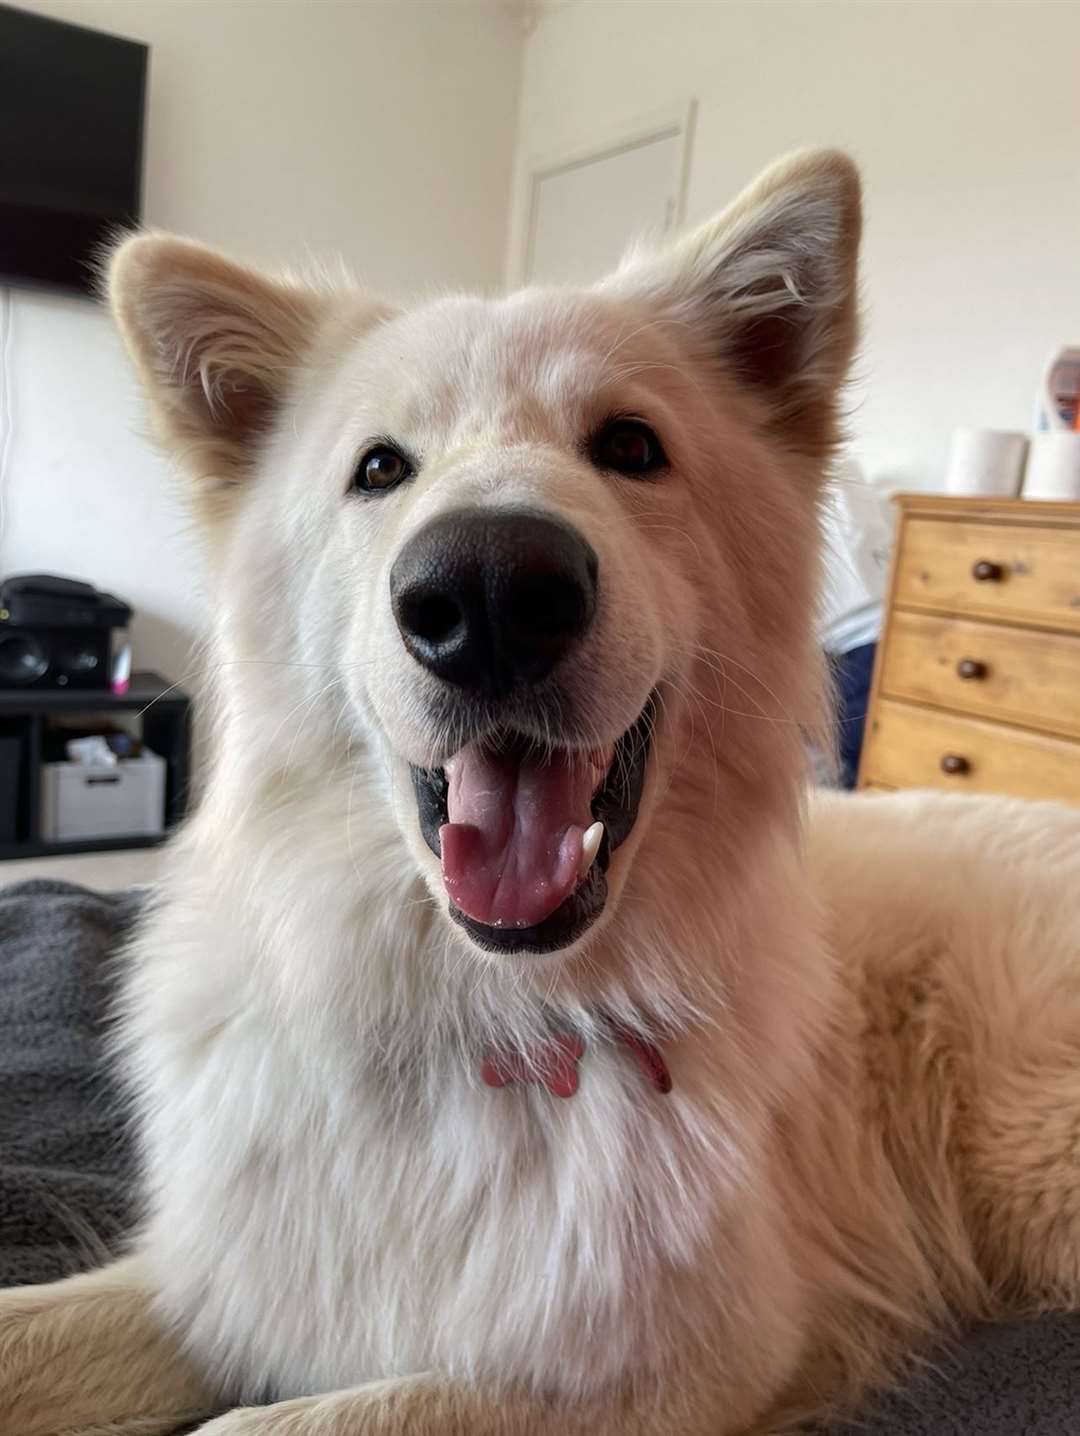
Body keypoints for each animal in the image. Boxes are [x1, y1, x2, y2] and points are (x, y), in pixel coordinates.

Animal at [2, 151, 1080, 1430]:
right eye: (380, 467)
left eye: (631, 445)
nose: (489, 590)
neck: (492, 1019)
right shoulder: (227, 1279)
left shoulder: (682, 1366)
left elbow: (273, 1419)